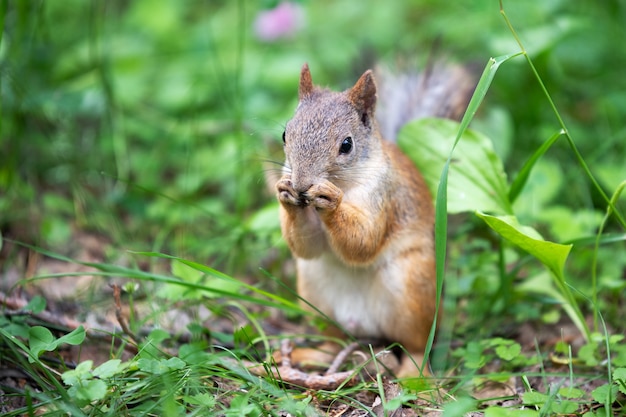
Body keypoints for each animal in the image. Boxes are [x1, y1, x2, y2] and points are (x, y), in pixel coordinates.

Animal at [274, 61, 472, 376]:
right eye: (285, 135)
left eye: (346, 144)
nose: (302, 184)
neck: (346, 185)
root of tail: (363, 328)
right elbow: (307, 246)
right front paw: (284, 193)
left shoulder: (384, 196)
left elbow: (364, 242)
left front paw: (331, 201)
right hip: (314, 294)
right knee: (334, 343)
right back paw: (310, 355)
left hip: (411, 288)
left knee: (417, 345)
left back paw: (415, 375)